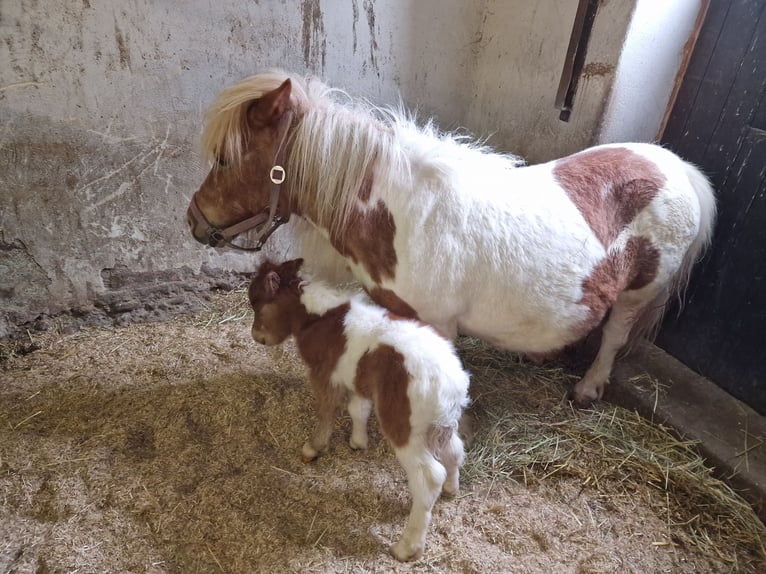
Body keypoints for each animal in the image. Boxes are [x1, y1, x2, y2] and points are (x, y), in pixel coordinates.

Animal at [188, 71, 720, 404]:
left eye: (225, 159)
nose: (193, 221)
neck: (401, 215)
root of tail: (673, 165)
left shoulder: (438, 324)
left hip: (640, 292)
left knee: (613, 335)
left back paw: (588, 388)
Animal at [249, 258, 472, 564]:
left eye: (257, 303)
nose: (256, 337)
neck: (320, 316)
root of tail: (453, 383)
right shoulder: (357, 380)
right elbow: (358, 409)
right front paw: (357, 442)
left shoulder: (323, 374)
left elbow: (327, 410)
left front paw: (313, 448)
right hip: (439, 427)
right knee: (455, 451)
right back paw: (452, 489)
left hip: (404, 427)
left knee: (428, 477)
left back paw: (406, 548)